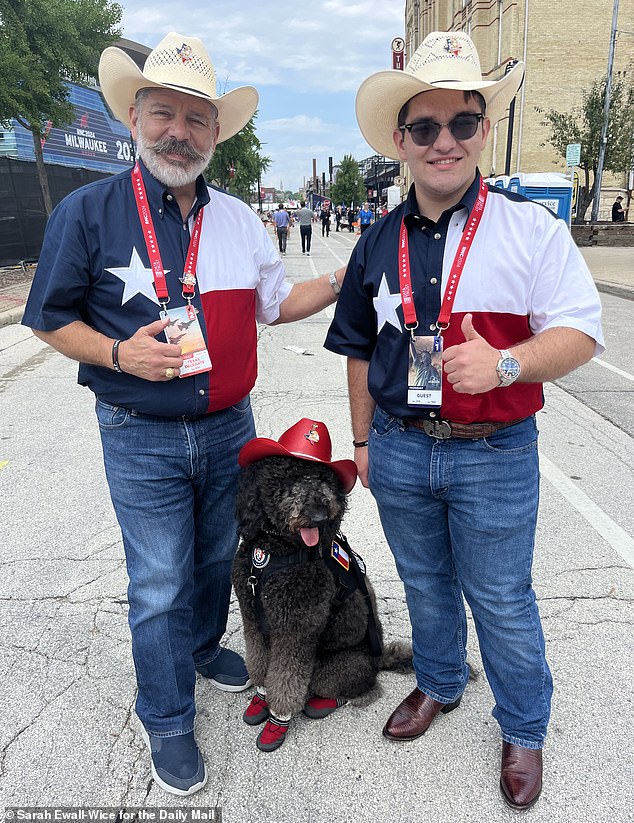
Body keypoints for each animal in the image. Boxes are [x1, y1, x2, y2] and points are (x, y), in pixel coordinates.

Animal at [232, 454, 410, 748]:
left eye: (323, 478)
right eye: (289, 478)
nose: (320, 515)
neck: (276, 553)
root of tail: (379, 659)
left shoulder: (295, 631)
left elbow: (286, 679)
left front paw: (277, 721)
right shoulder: (253, 619)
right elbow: (259, 663)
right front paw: (260, 698)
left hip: (332, 670)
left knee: (361, 689)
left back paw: (328, 702)